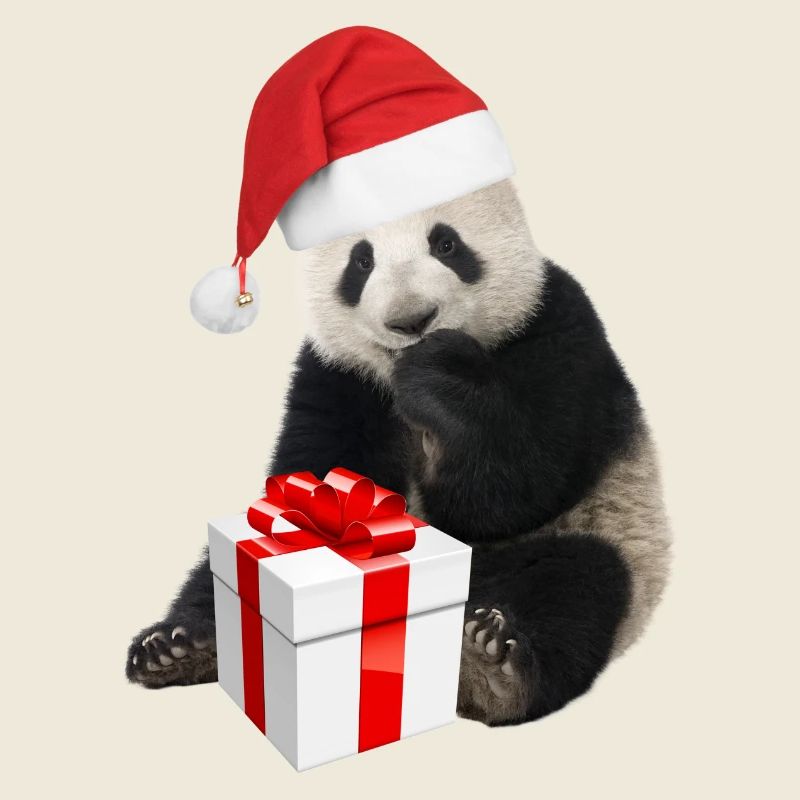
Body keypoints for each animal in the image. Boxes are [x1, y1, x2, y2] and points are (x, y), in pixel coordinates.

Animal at [126, 178, 672, 726]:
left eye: (446, 244)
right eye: (361, 261)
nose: (412, 321)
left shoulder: (557, 325)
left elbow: (517, 488)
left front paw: (441, 376)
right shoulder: (337, 374)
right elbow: (314, 470)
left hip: (601, 537)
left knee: (575, 584)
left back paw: (491, 670)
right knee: (215, 577)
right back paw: (181, 647)